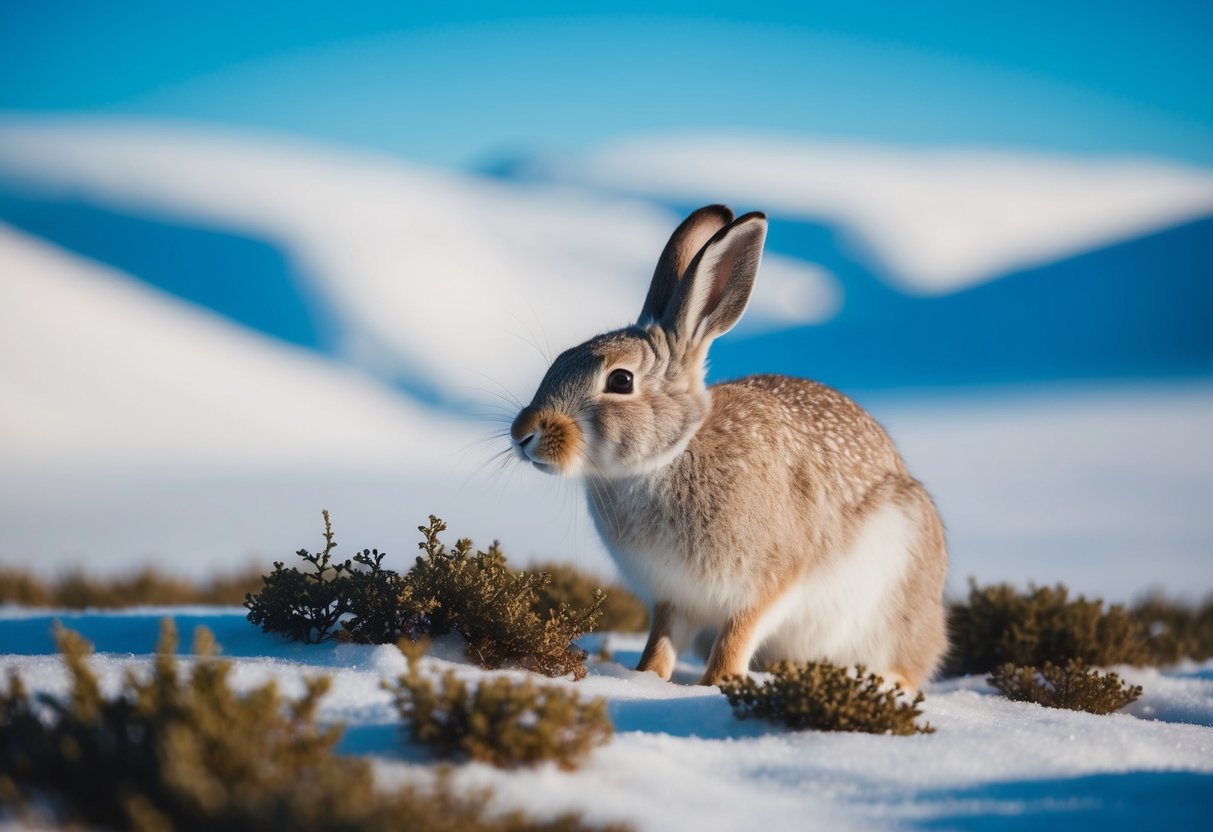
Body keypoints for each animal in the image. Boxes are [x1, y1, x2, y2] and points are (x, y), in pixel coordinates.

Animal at [510, 205, 948, 688]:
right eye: (561, 359)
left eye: (620, 380)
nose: (523, 434)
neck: (669, 457)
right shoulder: (673, 597)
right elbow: (663, 639)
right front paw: (647, 677)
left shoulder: (768, 583)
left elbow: (739, 634)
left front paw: (718, 683)